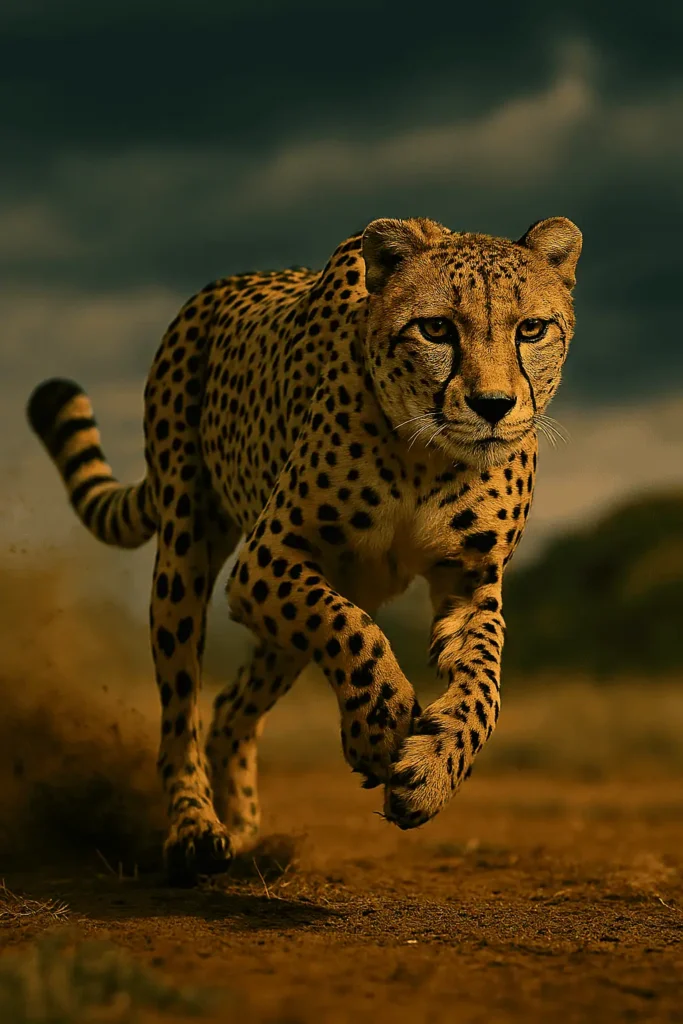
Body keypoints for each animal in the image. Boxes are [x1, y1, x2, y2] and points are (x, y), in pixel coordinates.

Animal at [26, 214, 582, 884]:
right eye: (436, 329)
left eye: (531, 329)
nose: (493, 406)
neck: (425, 457)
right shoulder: (266, 560)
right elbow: (353, 630)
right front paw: (379, 728)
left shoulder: (469, 580)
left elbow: (484, 681)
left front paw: (433, 769)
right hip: (184, 554)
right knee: (182, 711)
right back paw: (196, 829)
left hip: (283, 629)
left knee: (231, 705)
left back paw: (244, 827)